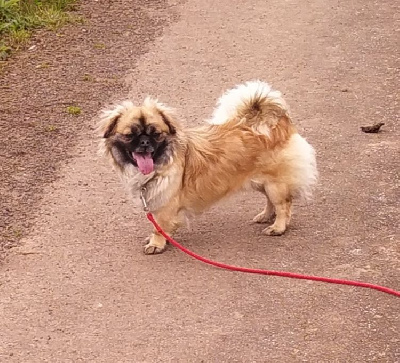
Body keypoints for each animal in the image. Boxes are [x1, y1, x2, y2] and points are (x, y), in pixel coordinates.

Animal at [98, 81, 318, 255]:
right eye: (130, 135)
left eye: (156, 134)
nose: (144, 142)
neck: (161, 164)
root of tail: (279, 123)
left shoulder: (165, 204)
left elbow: (159, 226)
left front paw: (156, 243)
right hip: (260, 182)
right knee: (271, 202)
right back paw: (265, 217)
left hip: (275, 184)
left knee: (283, 205)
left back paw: (277, 227)